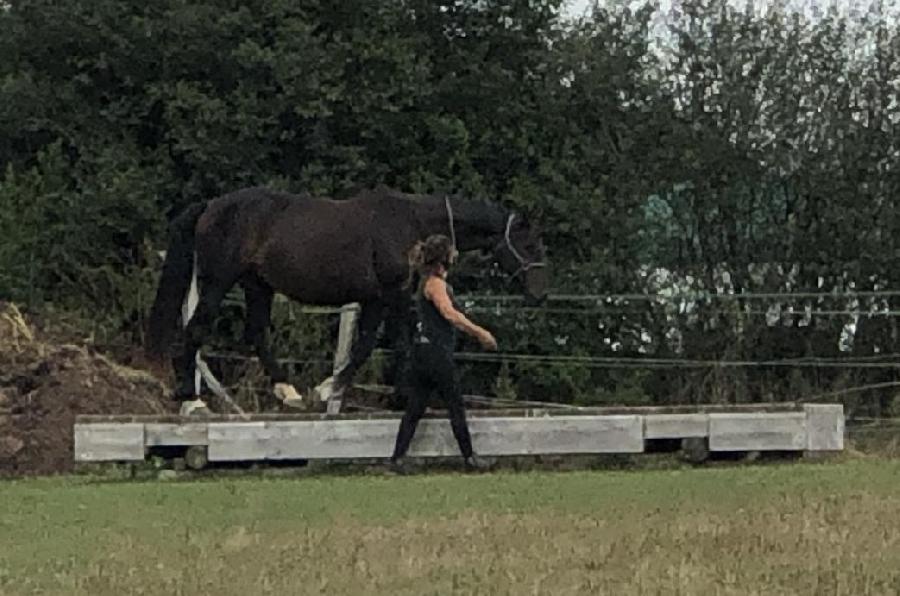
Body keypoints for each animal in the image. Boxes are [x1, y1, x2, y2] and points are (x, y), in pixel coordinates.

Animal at [144, 184, 548, 412]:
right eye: (529, 243)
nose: (540, 292)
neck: (411, 222)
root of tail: (210, 205)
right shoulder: (394, 292)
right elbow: (399, 341)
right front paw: (351, 393)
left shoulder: (374, 299)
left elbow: (367, 345)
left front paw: (330, 390)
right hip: (219, 282)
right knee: (195, 331)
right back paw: (192, 399)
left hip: (258, 285)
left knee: (256, 333)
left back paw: (288, 391)